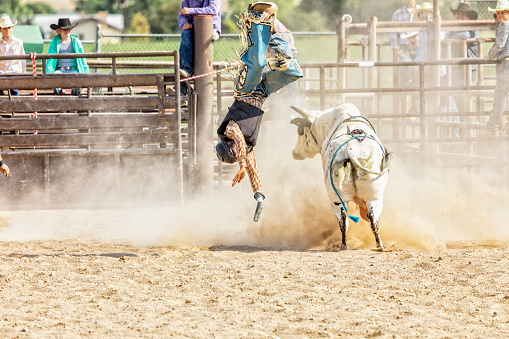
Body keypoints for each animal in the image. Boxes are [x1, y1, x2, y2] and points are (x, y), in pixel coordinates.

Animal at [288, 102, 390, 251]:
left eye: (300, 131)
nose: (294, 153)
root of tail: (350, 150)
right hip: (369, 198)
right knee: (365, 220)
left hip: (346, 199)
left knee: (352, 220)